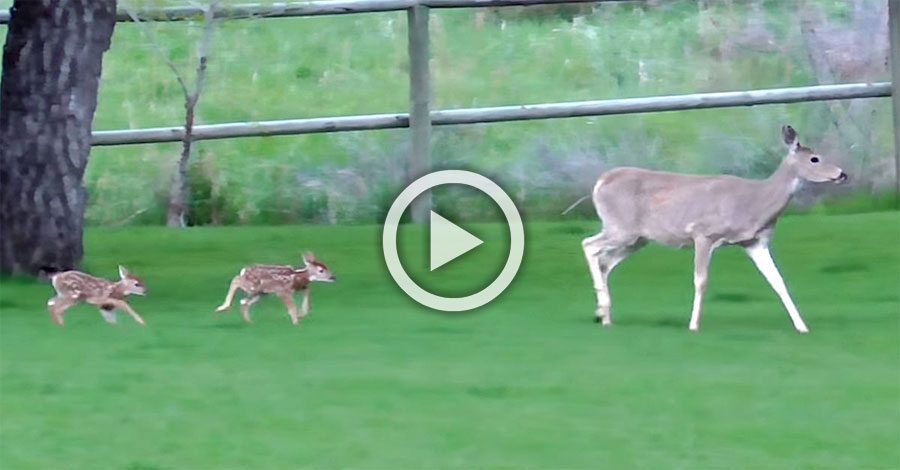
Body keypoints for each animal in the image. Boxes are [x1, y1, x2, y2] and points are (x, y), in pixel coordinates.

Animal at [581, 125, 847, 333]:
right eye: (815, 159)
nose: (842, 174)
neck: (755, 203)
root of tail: (600, 181)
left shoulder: (755, 242)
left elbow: (777, 280)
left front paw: (802, 326)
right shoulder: (703, 233)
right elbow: (701, 280)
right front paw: (693, 325)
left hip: (637, 238)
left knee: (605, 262)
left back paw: (604, 315)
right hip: (621, 227)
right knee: (589, 245)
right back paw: (602, 311)